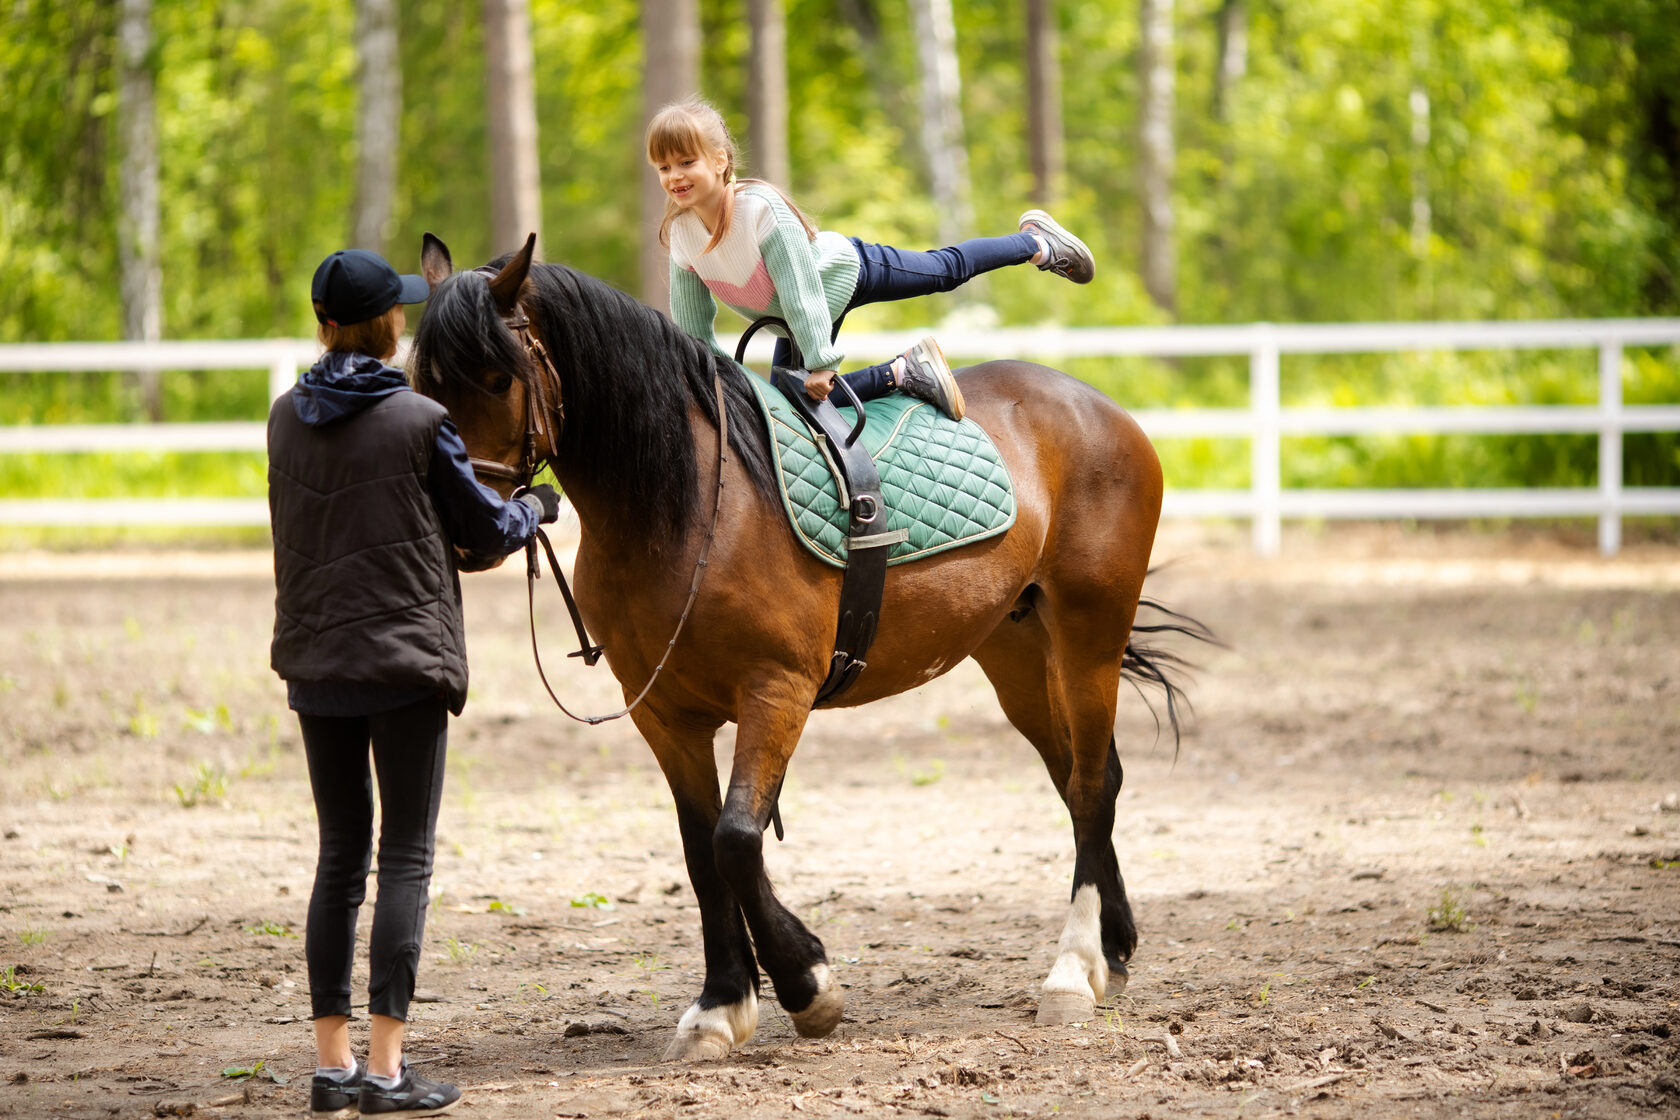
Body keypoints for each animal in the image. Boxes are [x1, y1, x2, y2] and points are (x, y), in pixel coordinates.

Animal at [406, 235, 1196, 1061]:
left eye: (498, 378)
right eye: (419, 383)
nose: (468, 529)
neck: (688, 505)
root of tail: (1096, 406)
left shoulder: (776, 692)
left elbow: (736, 839)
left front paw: (805, 983)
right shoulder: (665, 715)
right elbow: (701, 852)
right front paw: (722, 1002)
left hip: (1089, 633)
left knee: (1090, 786)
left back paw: (1072, 970)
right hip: (1015, 652)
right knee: (1081, 776)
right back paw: (1112, 949)